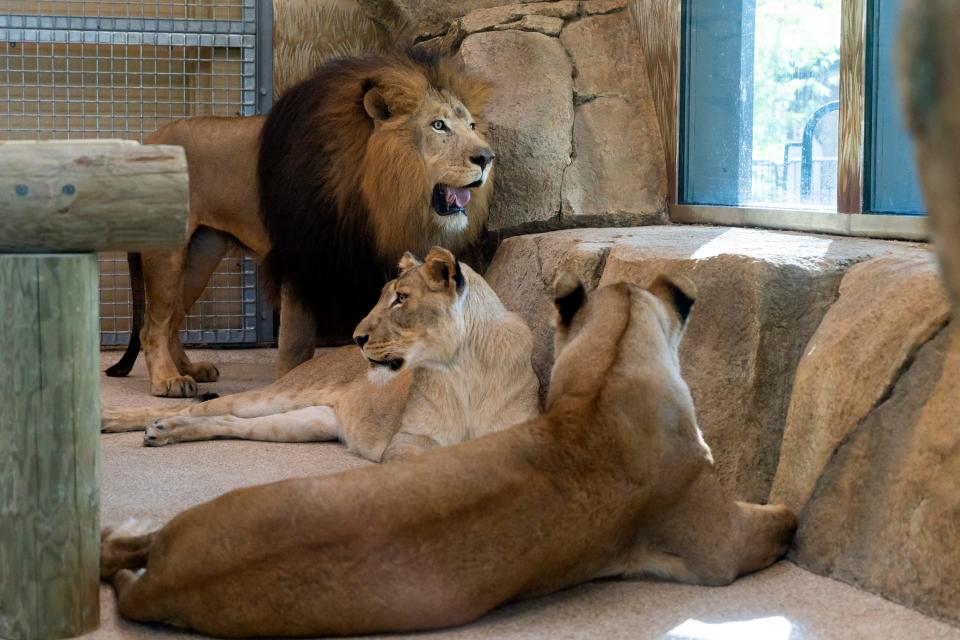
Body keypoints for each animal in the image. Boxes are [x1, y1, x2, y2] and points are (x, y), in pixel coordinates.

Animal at [107, 248, 540, 462]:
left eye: (401, 298)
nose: (358, 337)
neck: (461, 368)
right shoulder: (409, 441)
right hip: (281, 394)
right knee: (198, 406)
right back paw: (129, 421)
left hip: (306, 421)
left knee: (228, 420)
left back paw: (165, 432)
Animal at [108, 50, 492, 398]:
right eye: (438, 125)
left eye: (471, 126)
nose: (487, 157)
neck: (375, 191)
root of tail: (148, 140)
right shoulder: (301, 260)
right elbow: (296, 346)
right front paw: (293, 383)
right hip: (167, 254)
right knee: (154, 326)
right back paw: (167, 381)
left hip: (202, 253)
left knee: (172, 318)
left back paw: (190, 369)